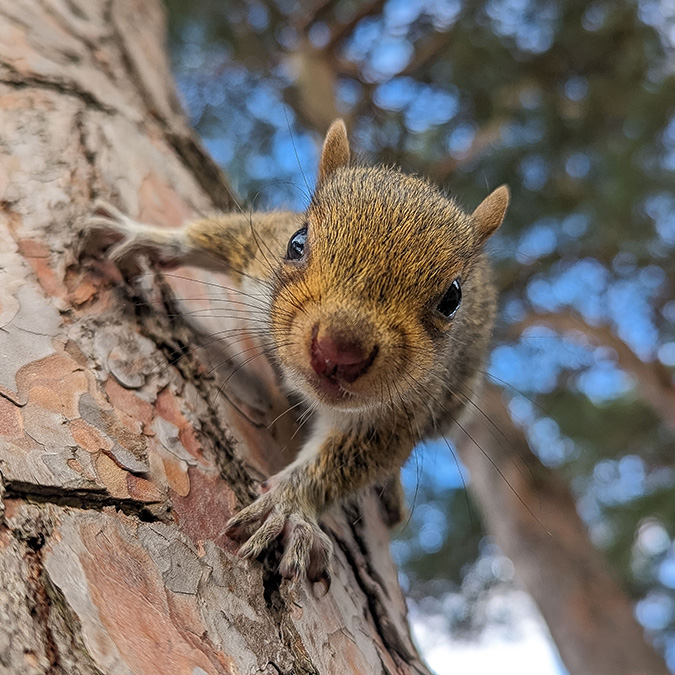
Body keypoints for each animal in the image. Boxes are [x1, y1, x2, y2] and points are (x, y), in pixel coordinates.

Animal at [86, 121, 508, 592]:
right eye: (297, 241)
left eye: (452, 299)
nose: (339, 350)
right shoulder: (259, 250)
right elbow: (220, 236)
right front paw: (145, 236)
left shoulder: (398, 415)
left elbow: (347, 463)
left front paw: (288, 504)